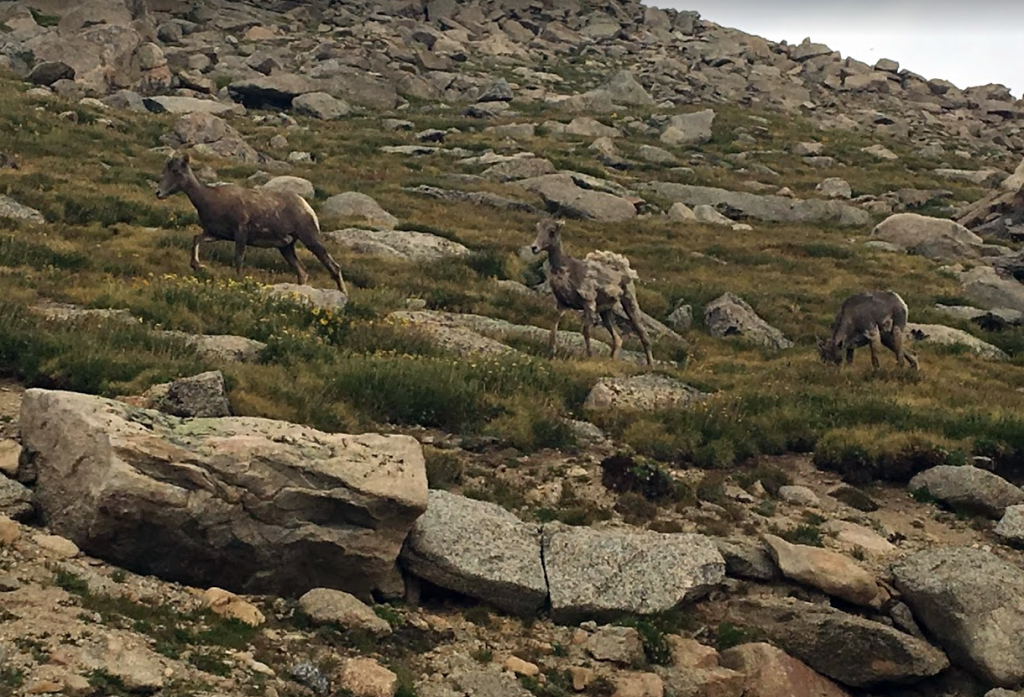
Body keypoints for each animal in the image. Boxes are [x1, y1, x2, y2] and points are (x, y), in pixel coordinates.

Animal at [153, 150, 348, 292]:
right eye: (164, 171)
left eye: (176, 171)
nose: (158, 193)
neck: (209, 199)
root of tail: (307, 208)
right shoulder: (216, 234)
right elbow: (195, 240)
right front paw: (197, 266)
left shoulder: (241, 233)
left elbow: (238, 260)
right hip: (286, 247)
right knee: (303, 273)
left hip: (310, 239)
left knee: (333, 266)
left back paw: (343, 294)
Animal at [528, 216, 655, 366]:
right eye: (538, 229)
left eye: (552, 232)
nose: (534, 248)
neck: (565, 271)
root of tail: (621, 266)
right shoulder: (561, 304)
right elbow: (554, 324)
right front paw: (551, 352)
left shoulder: (588, 303)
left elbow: (586, 331)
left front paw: (588, 356)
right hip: (606, 312)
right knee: (618, 338)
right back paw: (612, 360)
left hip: (630, 303)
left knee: (643, 335)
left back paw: (650, 366)